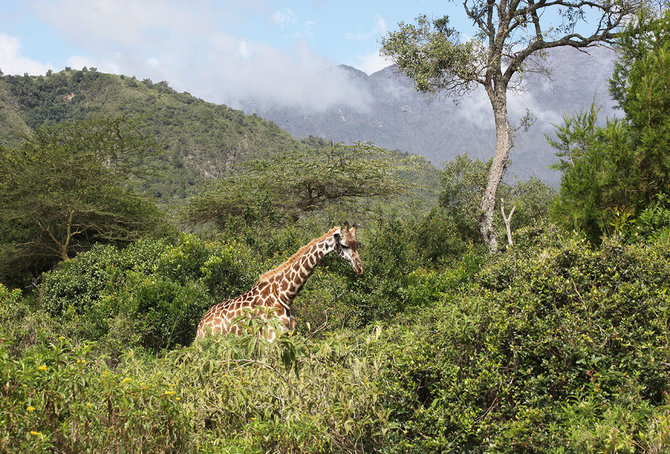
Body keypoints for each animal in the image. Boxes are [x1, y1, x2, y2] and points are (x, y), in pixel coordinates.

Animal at [197, 222, 364, 338]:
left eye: (357, 245)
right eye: (344, 245)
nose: (360, 268)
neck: (285, 295)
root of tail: (200, 326)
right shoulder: (269, 338)